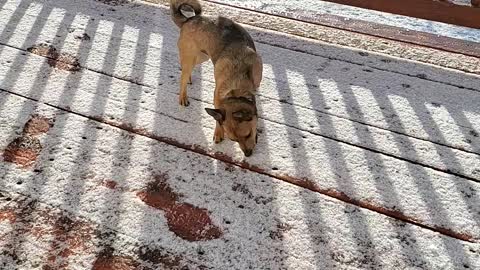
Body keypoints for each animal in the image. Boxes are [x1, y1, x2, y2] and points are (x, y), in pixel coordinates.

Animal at [171, 0, 264, 157]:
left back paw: (189, 78)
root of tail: (189, 20)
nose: (247, 154)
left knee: (186, 71)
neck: (236, 89)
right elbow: (217, 117)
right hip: (191, 56)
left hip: (202, 57)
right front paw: (218, 132)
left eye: (247, 135)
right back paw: (183, 96)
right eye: (234, 140)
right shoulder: (217, 97)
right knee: (182, 76)